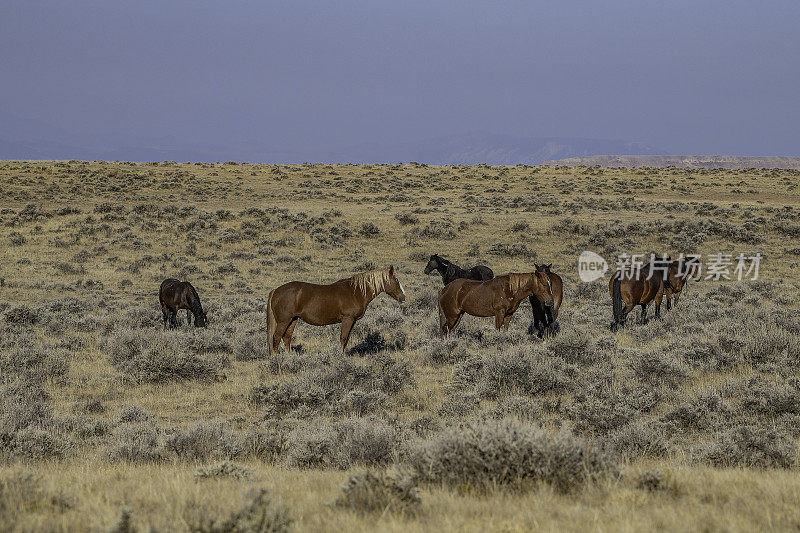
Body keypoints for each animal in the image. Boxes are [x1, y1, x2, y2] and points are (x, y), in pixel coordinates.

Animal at [268, 264, 406, 354]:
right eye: (396, 280)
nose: (403, 297)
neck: (356, 292)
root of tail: (275, 291)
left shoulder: (352, 321)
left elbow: (347, 339)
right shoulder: (347, 319)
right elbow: (343, 338)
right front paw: (340, 357)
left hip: (293, 319)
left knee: (286, 338)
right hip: (284, 321)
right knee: (276, 338)